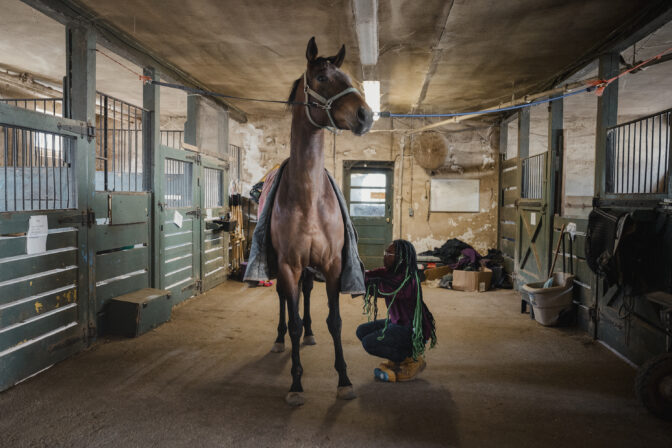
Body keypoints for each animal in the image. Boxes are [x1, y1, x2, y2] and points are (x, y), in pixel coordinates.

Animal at [270, 36, 372, 404]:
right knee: (285, 301)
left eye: (347, 76)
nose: (366, 115)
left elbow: (335, 321)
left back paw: (310, 334)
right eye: (323, 78)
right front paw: (296, 384)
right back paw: (280, 339)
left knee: (307, 295)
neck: (308, 198)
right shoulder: (288, 264)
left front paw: (344, 379)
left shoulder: (332, 265)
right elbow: (294, 317)